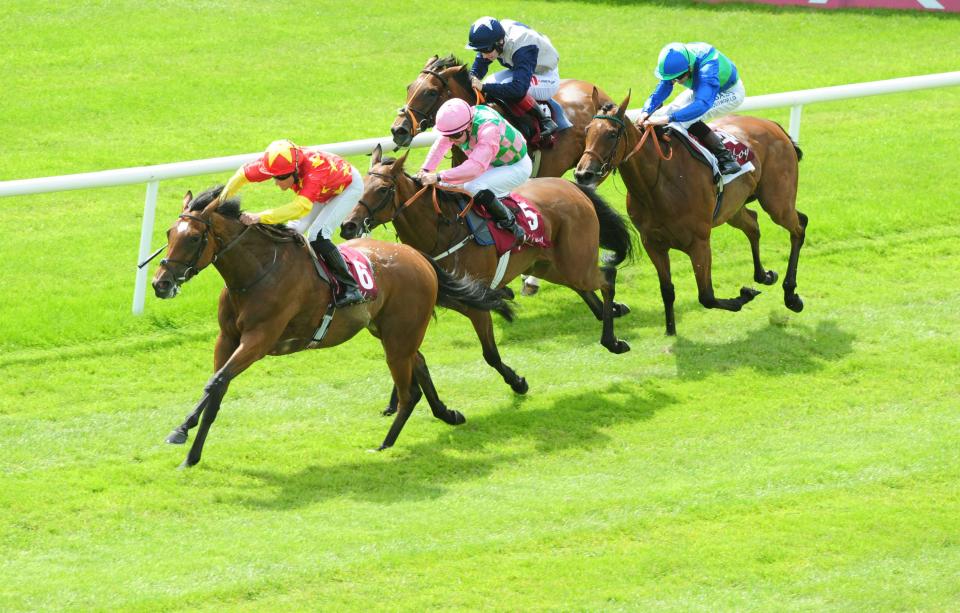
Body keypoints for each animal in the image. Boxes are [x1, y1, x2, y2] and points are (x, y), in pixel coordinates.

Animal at [151, 184, 512, 466]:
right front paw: (186, 442)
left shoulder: (258, 340)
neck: (257, 272)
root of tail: (418, 257)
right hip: (390, 331)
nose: (160, 283)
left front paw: (185, 441)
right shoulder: (227, 338)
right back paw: (447, 413)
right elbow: (216, 385)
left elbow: (217, 383)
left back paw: (385, 444)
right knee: (420, 365)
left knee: (409, 391)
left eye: (194, 238)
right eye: (169, 233)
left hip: (399, 336)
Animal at [342, 145, 632, 412]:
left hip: (574, 262)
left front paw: (518, 382)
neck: (441, 230)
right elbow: (409, 350)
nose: (348, 226)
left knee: (607, 278)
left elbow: (490, 354)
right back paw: (612, 312)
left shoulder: (477, 304)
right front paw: (396, 401)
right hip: (548, 265)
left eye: (382, 189)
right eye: (361, 185)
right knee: (586, 288)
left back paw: (613, 341)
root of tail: (570, 186)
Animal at [572, 89, 808, 334]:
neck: (658, 184)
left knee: (799, 226)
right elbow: (667, 290)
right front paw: (670, 331)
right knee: (753, 224)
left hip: (777, 203)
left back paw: (791, 296)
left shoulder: (699, 243)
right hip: (732, 208)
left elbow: (707, 297)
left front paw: (745, 295)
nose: (583, 174)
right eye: (587, 130)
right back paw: (764, 275)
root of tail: (773, 126)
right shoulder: (653, 243)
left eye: (611, 134)